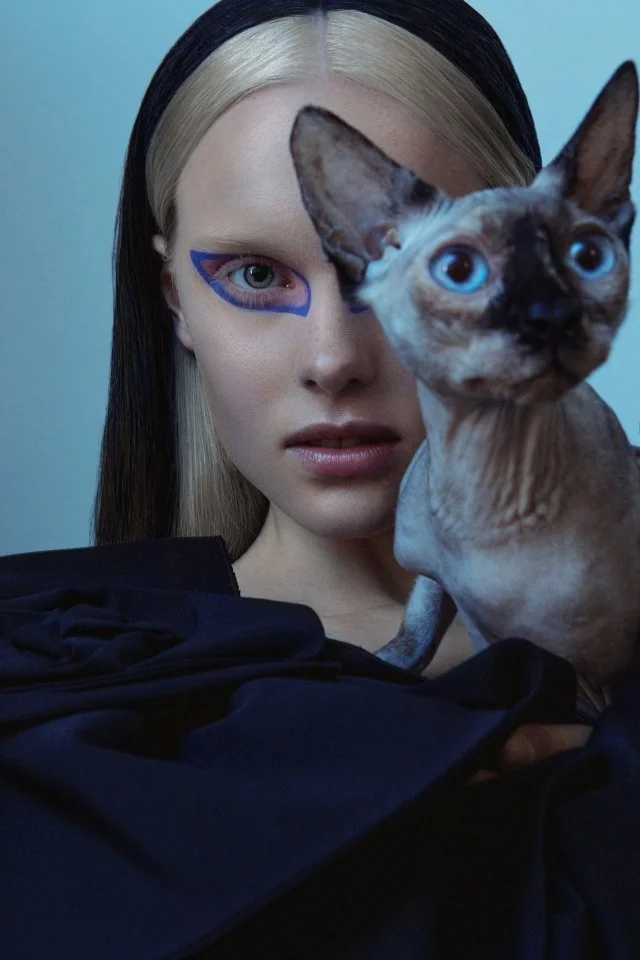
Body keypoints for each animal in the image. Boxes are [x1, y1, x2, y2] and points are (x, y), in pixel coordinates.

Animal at [289, 61, 640, 720]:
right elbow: (452, 631)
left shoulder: (605, 667)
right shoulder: (456, 598)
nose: (551, 314)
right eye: (459, 272)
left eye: (588, 257)